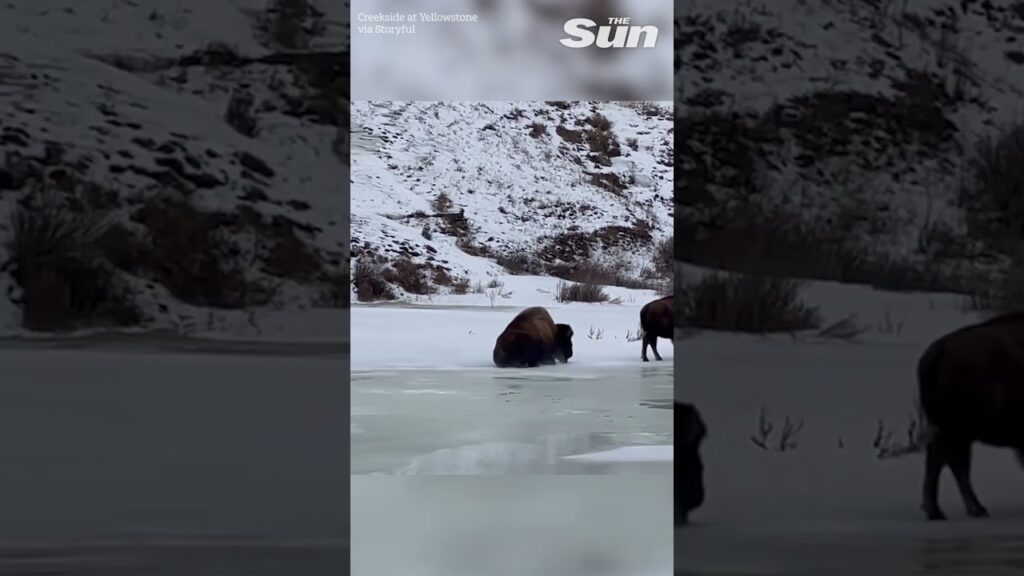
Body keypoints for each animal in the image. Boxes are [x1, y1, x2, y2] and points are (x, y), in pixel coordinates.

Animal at [918, 311, 1024, 520]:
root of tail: (939, 350)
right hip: (957, 429)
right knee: (943, 460)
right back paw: (939, 511)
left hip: (960, 432)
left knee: (954, 463)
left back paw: (974, 508)